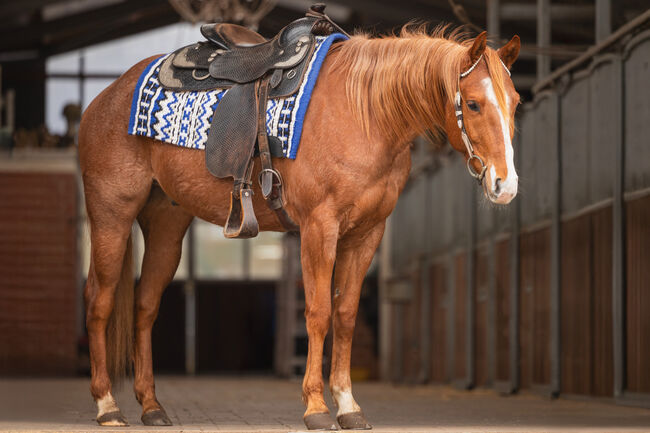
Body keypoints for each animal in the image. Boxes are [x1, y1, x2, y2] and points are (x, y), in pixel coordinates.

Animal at [78, 25, 520, 430]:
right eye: (474, 104)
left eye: (515, 102)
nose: (506, 185)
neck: (365, 114)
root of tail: (105, 97)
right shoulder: (319, 227)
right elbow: (319, 312)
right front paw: (317, 407)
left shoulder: (367, 234)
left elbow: (345, 314)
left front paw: (348, 405)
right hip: (112, 214)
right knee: (100, 300)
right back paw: (107, 405)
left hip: (166, 225)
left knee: (144, 306)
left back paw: (151, 406)